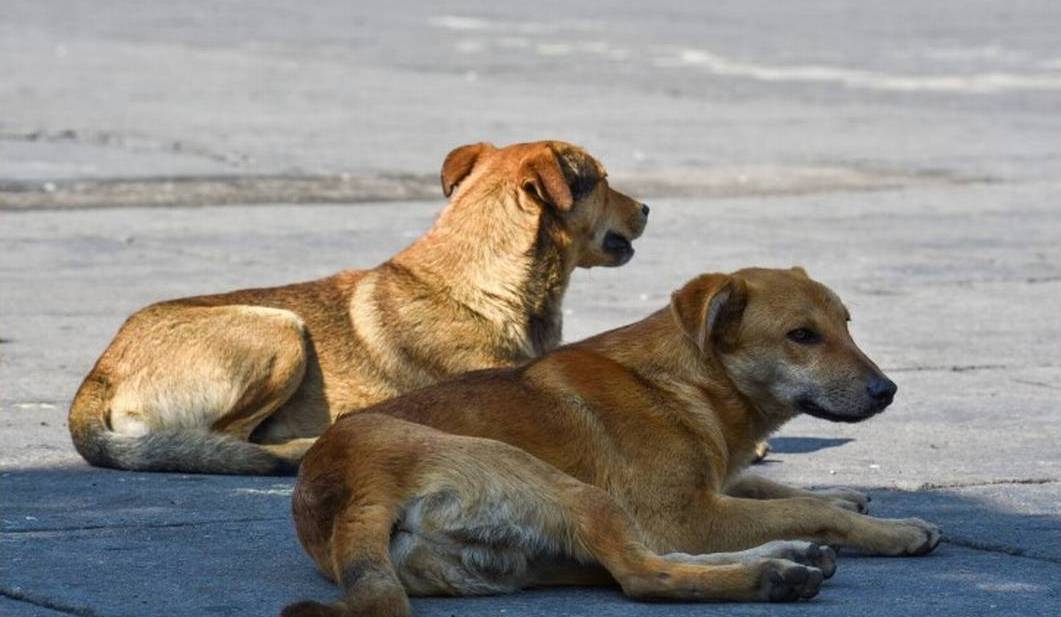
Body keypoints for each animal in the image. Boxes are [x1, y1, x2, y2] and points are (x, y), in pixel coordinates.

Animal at [68, 143, 645, 477]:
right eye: (603, 179)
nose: (646, 207)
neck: (487, 286)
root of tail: (100, 372)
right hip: (280, 330)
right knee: (230, 440)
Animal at [286, 268, 942, 614]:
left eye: (846, 326)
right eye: (802, 336)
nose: (887, 391)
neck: (688, 378)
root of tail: (350, 489)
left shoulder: (707, 493)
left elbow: (767, 484)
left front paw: (846, 499)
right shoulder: (688, 515)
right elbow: (803, 506)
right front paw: (889, 530)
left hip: (543, 555)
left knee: (647, 562)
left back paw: (787, 558)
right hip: (562, 488)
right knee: (643, 575)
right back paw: (773, 575)